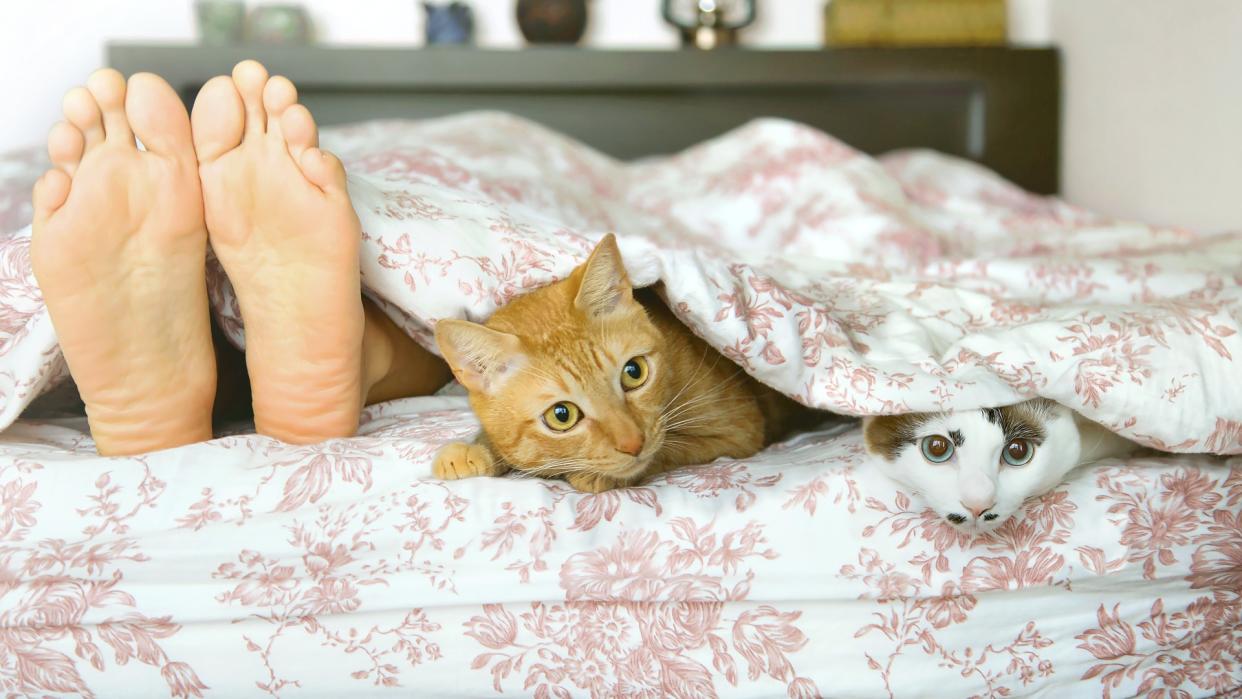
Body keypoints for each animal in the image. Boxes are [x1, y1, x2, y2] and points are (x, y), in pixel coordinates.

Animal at [429, 234, 814, 491]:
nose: (634, 443)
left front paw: (598, 475)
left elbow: (672, 448)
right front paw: (475, 450)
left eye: (634, 373)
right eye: (562, 415)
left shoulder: (738, 429)